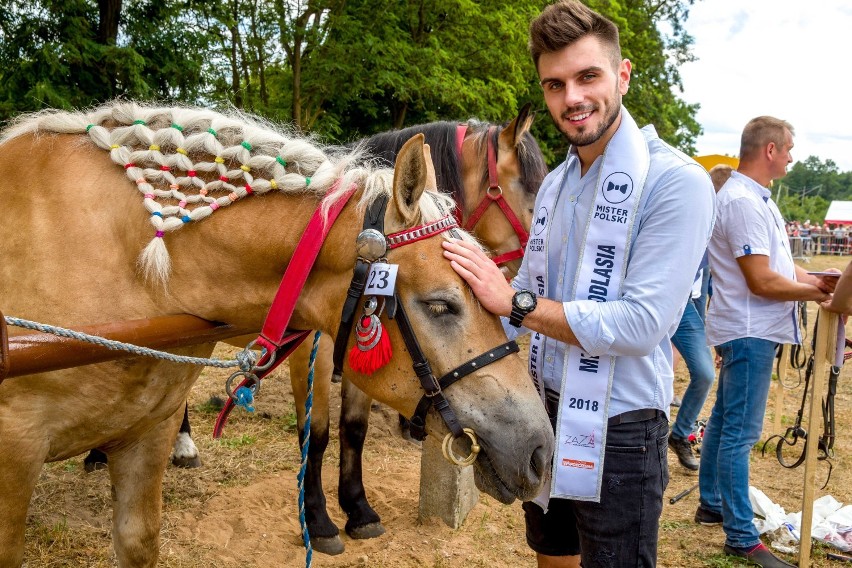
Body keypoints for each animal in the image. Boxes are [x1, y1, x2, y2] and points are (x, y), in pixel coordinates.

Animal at [0, 103, 552, 568]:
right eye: (440, 305)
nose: (539, 451)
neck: (128, 261)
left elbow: (353, 428)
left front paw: (359, 510)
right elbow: (318, 432)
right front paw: (321, 521)